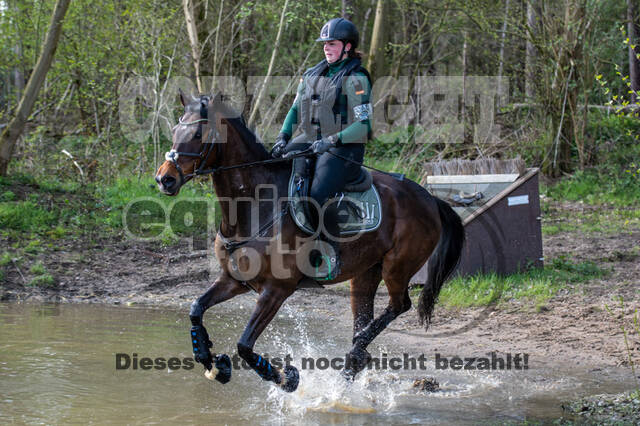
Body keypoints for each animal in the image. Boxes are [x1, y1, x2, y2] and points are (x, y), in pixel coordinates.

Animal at [155, 92, 464, 392]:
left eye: (198, 133)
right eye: (175, 130)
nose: (164, 179)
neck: (256, 204)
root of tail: (429, 198)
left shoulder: (276, 290)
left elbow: (244, 346)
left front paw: (286, 378)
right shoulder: (234, 280)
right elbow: (196, 309)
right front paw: (209, 360)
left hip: (397, 267)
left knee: (400, 305)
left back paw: (359, 344)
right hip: (366, 272)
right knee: (367, 317)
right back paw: (353, 359)